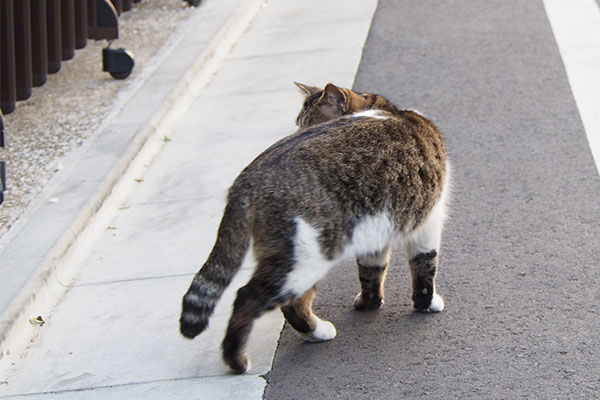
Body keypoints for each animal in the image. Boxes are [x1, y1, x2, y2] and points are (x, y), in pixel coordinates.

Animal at [179, 83, 450, 374]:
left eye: (303, 124)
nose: (295, 133)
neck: (392, 112)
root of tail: (248, 179)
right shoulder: (429, 219)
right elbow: (424, 266)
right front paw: (427, 304)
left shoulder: (376, 229)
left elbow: (370, 270)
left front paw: (369, 303)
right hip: (306, 258)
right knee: (257, 299)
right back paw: (251, 356)